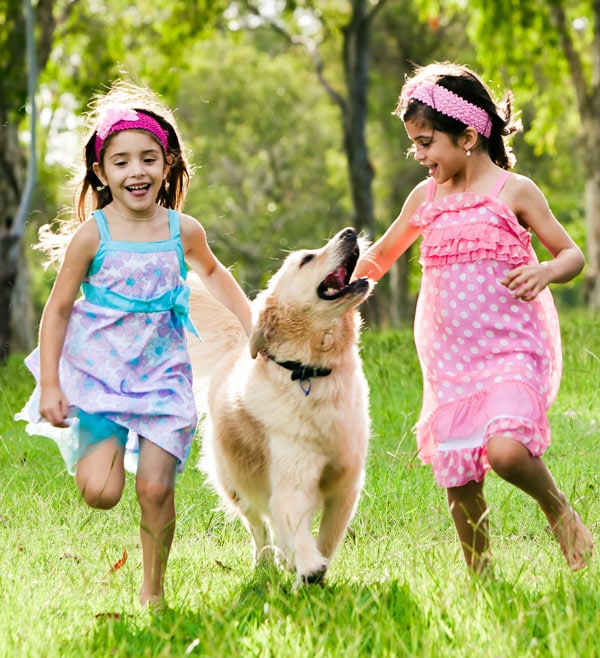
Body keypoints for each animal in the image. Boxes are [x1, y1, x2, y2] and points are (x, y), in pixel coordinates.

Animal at [190, 227, 372, 584]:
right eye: (306, 259)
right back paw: (266, 563)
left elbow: (327, 537)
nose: (349, 232)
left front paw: (315, 570)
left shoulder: (346, 485)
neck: (311, 371)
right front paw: (308, 566)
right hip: (235, 482)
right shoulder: (291, 480)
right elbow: (294, 526)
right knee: (260, 527)